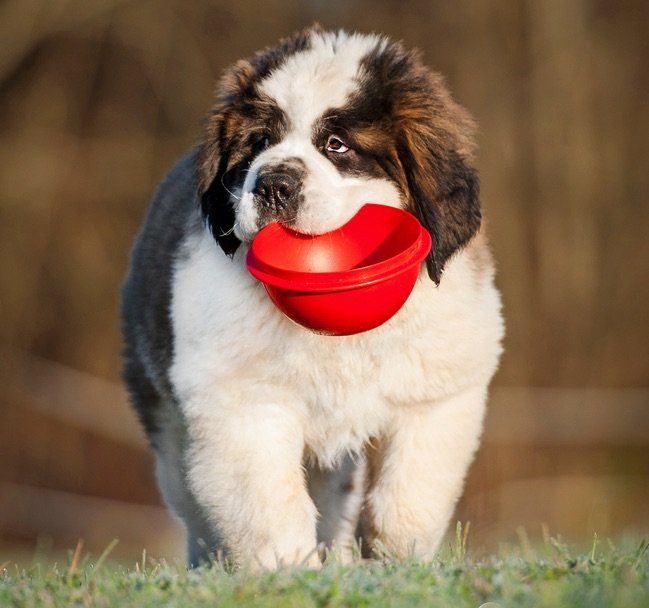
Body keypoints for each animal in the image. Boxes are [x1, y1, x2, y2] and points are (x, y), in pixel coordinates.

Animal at [123, 25, 506, 568]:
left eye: (337, 145)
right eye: (260, 141)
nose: (272, 184)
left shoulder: (437, 395)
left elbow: (407, 498)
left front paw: (396, 563)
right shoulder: (240, 403)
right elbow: (268, 505)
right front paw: (286, 571)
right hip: (167, 416)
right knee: (191, 499)